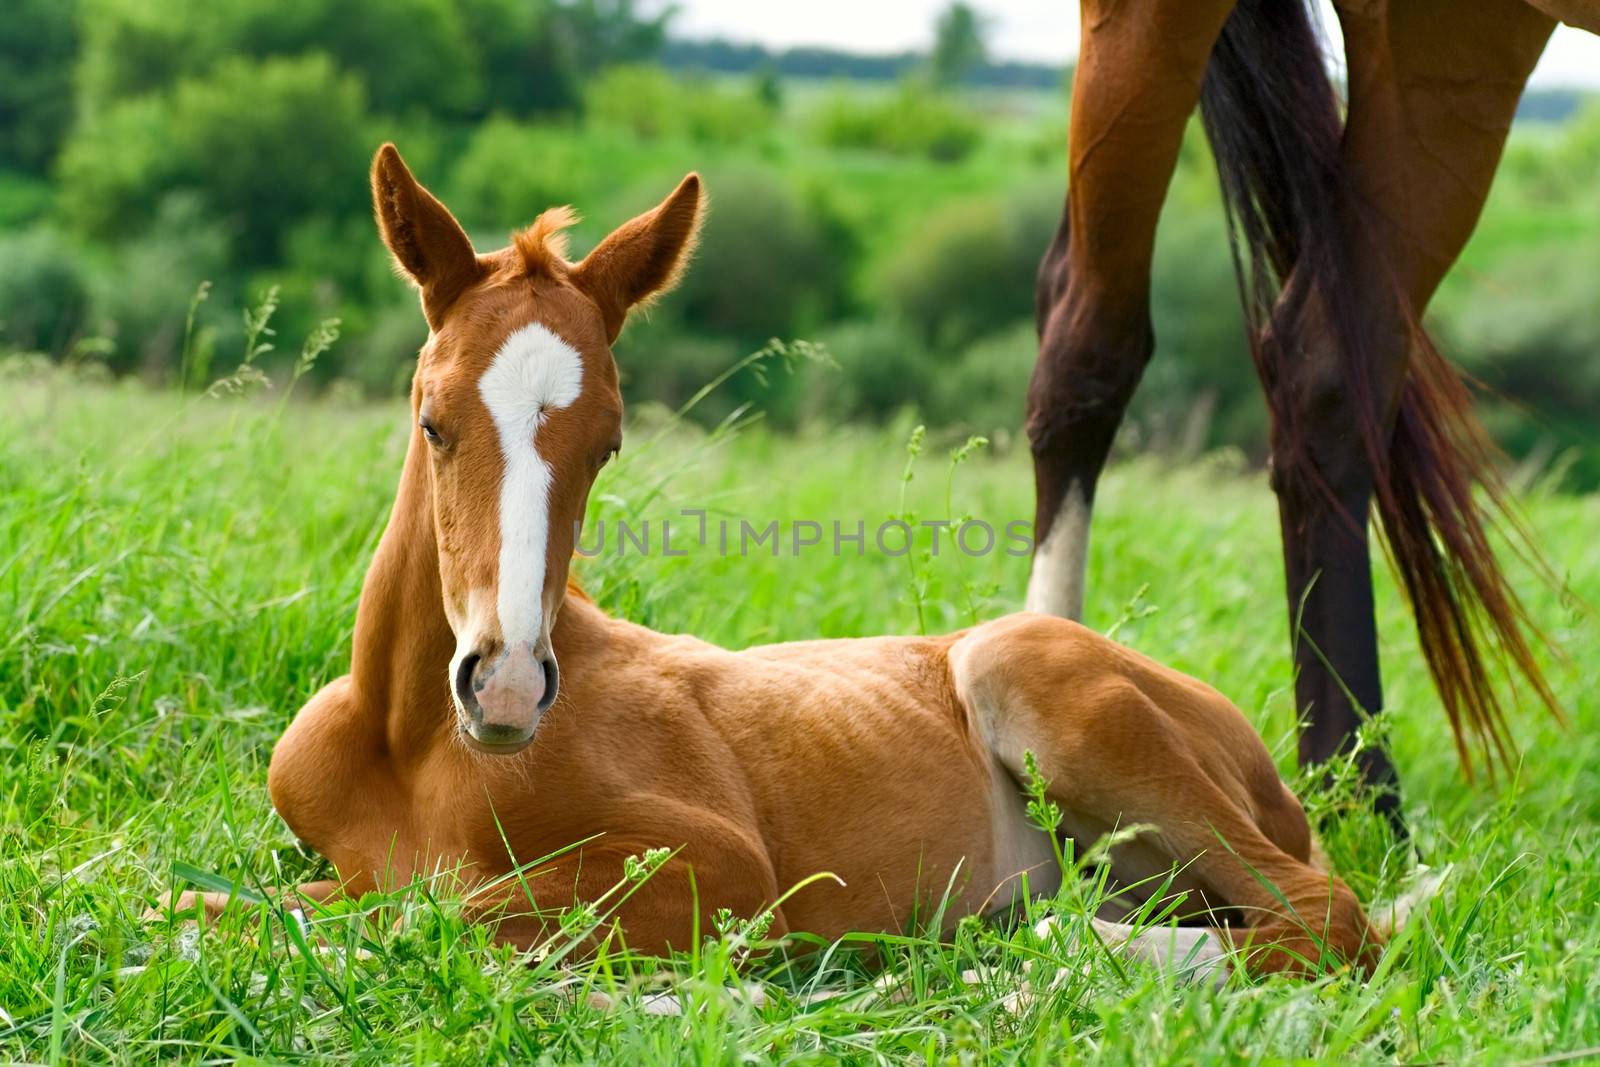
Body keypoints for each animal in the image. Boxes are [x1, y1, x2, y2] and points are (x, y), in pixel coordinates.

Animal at [168, 146, 1382, 979]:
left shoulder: (727, 869)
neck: (406, 743)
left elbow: (428, 910)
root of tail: (1250, 748)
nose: (505, 686)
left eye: (608, 442)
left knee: (1327, 915)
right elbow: (195, 898)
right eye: (433, 421)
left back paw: (1012, 956)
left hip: (1040, 685)